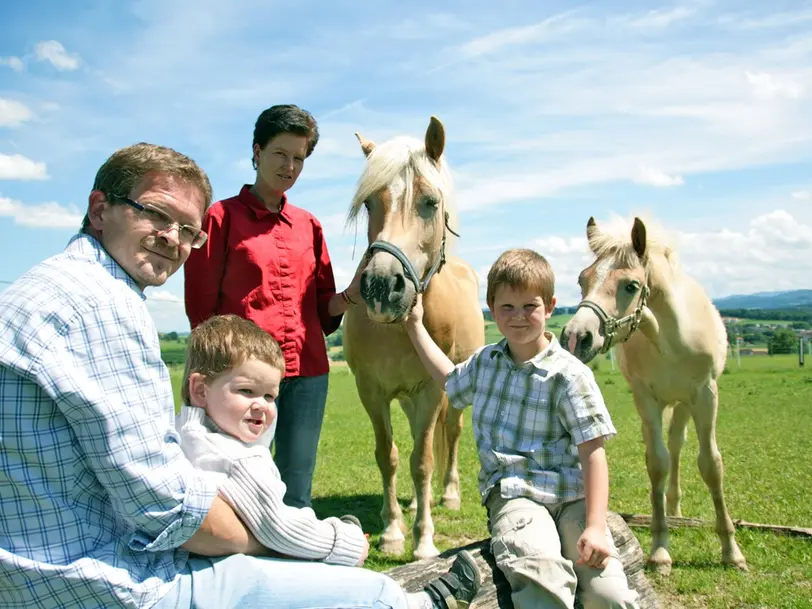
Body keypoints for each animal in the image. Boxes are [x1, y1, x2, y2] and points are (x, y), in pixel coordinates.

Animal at [340, 116, 482, 560]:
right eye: (370, 203)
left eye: (430, 202)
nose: (383, 286)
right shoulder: (371, 391)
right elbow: (388, 457)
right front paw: (392, 532)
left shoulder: (432, 391)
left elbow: (422, 462)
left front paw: (423, 540)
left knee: (451, 434)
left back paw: (448, 495)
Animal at [560, 215, 744, 576]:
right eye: (582, 279)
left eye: (631, 286)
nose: (575, 337)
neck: (671, 340)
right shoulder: (646, 398)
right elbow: (657, 463)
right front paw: (660, 550)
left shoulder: (705, 394)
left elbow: (711, 465)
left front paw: (731, 551)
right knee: (669, 447)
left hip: (685, 402)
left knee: (678, 444)